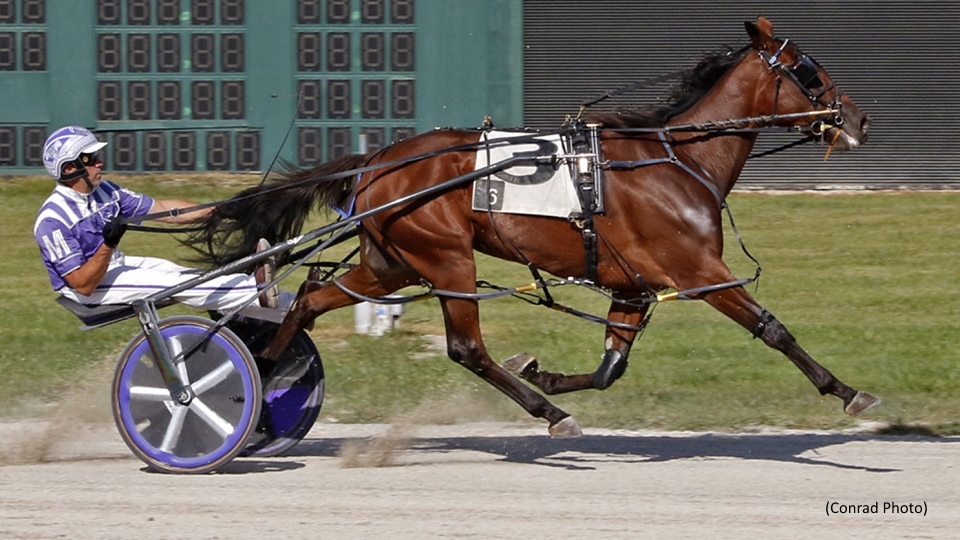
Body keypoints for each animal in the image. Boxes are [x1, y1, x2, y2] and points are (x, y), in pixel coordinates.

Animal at [190, 17, 877, 437]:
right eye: (808, 70)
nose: (858, 119)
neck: (677, 161)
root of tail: (381, 158)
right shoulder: (698, 270)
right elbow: (772, 329)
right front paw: (847, 391)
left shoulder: (634, 286)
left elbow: (610, 368)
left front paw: (542, 371)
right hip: (446, 258)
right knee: (466, 348)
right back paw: (549, 414)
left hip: (391, 262)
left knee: (310, 296)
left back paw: (264, 380)